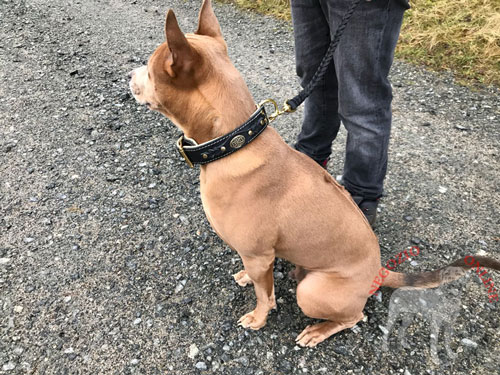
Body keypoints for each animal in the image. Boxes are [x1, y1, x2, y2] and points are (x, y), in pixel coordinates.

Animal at [130, 0, 500, 348]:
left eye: (148, 69)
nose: (128, 76)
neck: (235, 143)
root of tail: (378, 271)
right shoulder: (258, 258)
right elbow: (260, 280)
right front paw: (249, 279)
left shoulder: (258, 254)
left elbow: (265, 296)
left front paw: (259, 318)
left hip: (312, 292)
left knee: (354, 316)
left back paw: (319, 331)